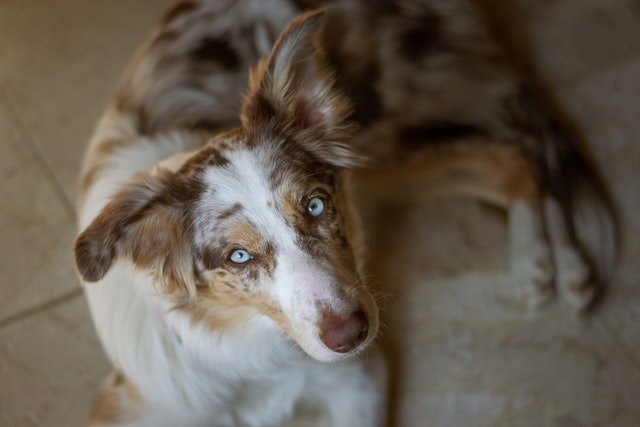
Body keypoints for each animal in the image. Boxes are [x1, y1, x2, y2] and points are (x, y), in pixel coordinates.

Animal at [72, 0, 616, 427]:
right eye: (238, 257)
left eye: (315, 205)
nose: (350, 334)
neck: (254, 353)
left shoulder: (360, 379)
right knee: (511, 155)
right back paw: (555, 264)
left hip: (376, 133)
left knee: (516, 151)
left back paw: (548, 262)